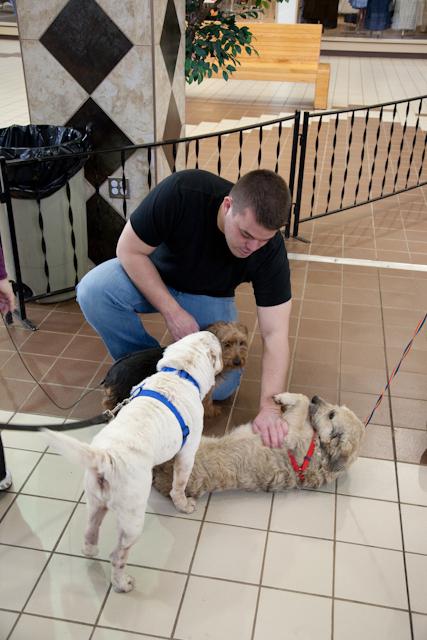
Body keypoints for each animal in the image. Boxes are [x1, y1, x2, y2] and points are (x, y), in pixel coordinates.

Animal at [102, 322, 249, 418]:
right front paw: (212, 411)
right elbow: (207, 402)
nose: (238, 362)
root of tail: (111, 373)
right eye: (226, 344)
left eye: (242, 343)